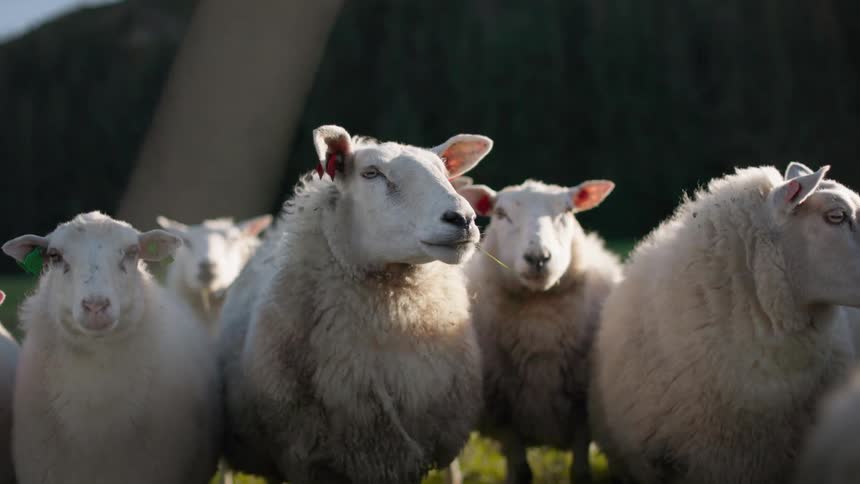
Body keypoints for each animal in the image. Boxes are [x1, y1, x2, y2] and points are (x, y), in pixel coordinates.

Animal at [454, 179, 622, 484]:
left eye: (567, 211)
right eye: (501, 214)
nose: (538, 258)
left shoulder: (583, 410)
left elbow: (580, 473)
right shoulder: (505, 413)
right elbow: (521, 472)